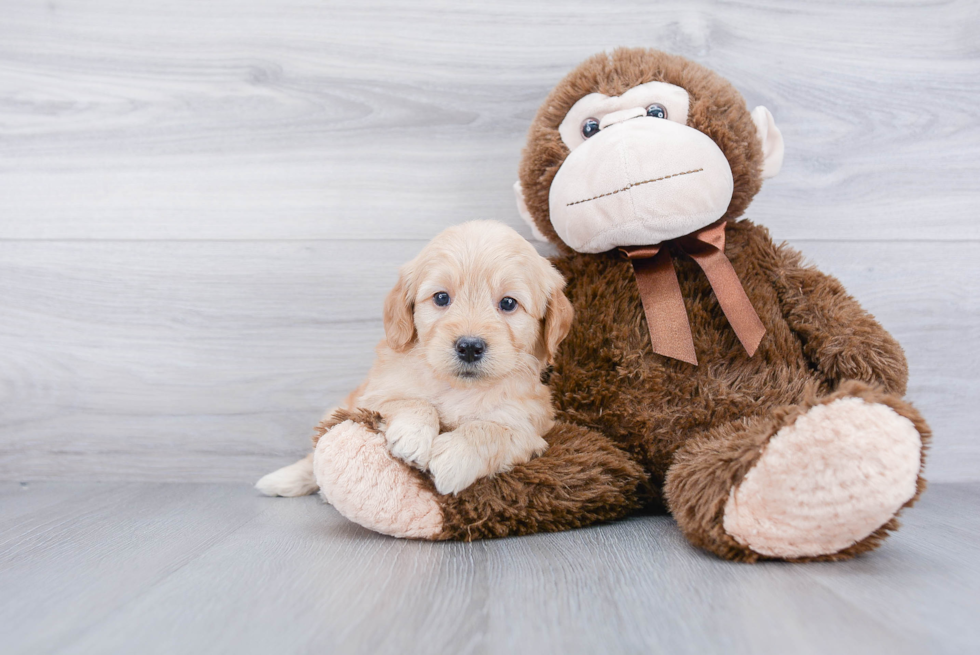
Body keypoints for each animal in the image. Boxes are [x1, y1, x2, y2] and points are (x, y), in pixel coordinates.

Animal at [256, 220, 576, 498]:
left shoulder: (529, 429)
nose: (469, 347)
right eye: (441, 298)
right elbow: (412, 401)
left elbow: (490, 429)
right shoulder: (372, 397)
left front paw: (454, 458)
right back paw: (282, 480)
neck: (457, 389)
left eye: (508, 303)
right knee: (314, 453)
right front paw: (412, 436)